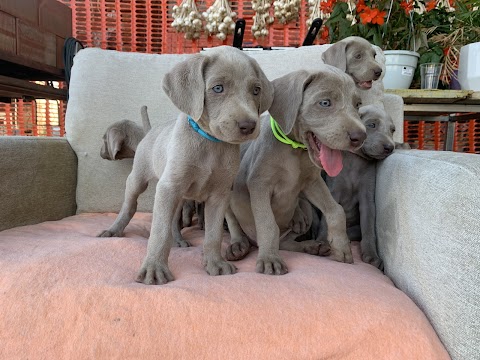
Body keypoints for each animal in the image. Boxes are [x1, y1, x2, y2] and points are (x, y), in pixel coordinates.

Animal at [225, 66, 368, 274]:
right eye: (325, 103)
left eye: (357, 105)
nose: (361, 137)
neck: (294, 151)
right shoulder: (259, 185)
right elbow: (268, 224)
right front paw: (269, 259)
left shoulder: (312, 182)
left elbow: (336, 210)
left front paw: (341, 246)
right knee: (234, 222)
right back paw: (238, 246)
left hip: (306, 211)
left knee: (286, 241)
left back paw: (312, 245)